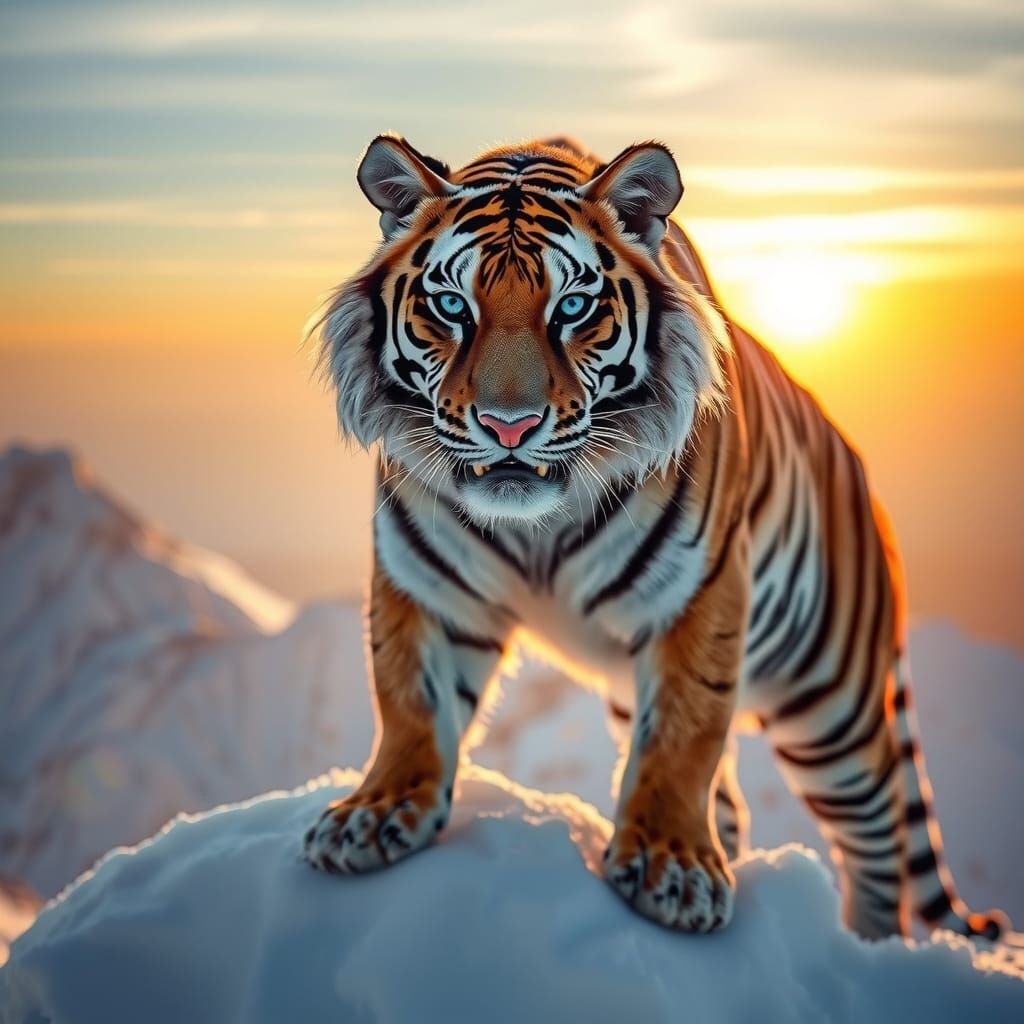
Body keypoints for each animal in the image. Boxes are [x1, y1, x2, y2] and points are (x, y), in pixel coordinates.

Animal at [302, 132, 1008, 940]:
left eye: (572, 307)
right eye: (452, 305)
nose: (509, 426)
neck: (535, 531)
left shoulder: (700, 595)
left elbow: (684, 733)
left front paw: (671, 868)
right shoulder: (425, 586)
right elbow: (410, 702)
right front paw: (375, 814)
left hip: (833, 706)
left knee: (880, 836)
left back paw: (867, 944)